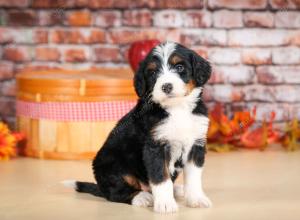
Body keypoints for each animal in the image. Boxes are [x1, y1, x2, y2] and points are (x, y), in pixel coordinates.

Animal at [63, 41, 211, 213]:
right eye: (153, 72)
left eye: (179, 67)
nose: (166, 86)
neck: (177, 109)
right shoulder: (155, 146)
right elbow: (161, 177)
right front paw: (166, 204)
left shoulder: (196, 143)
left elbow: (194, 176)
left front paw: (196, 199)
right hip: (112, 166)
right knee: (115, 193)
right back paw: (142, 197)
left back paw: (177, 190)